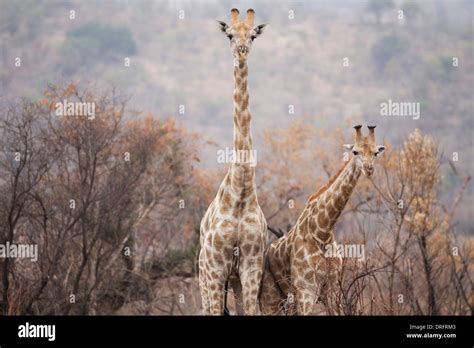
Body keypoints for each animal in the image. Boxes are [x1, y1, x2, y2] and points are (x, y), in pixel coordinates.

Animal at [260, 125, 386, 316]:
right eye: (355, 152)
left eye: (375, 152)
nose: (368, 169)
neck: (322, 230)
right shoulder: (306, 289)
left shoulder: (332, 288)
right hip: (270, 298)